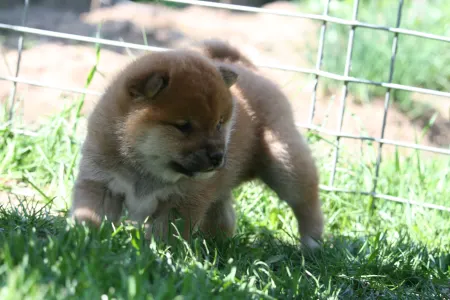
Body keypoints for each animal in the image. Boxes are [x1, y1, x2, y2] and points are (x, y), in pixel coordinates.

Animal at [71, 38, 324, 248]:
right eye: (184, 126)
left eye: (219, 123)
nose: (218, 157)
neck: (146, 170)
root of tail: (248, 68)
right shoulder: (101, 182)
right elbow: (90, 215)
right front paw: (84, 239)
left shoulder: (183, 201)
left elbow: (166, 235)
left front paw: (158, 254)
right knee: (223, 216)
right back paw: (214, 243)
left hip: (285, 165)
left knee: (306, 203)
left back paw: (312, 245)